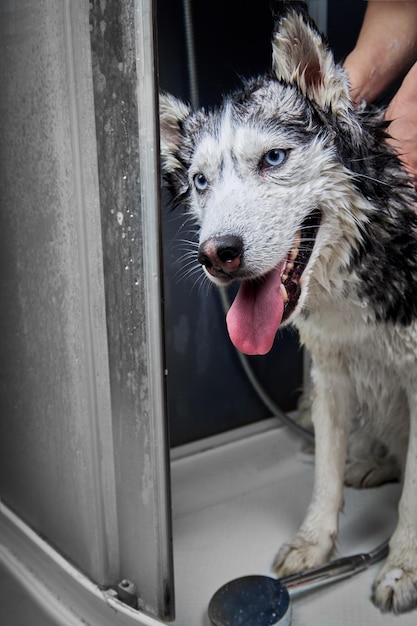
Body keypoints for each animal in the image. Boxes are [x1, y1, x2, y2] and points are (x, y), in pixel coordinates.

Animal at [160, 2, 417, 612]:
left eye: (273, 158)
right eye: (200, 181)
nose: (217, 255)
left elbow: (414, 500)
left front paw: (402, 566)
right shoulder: (329, 375)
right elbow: (324, 473)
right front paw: (314, 545)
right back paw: (373, 462)